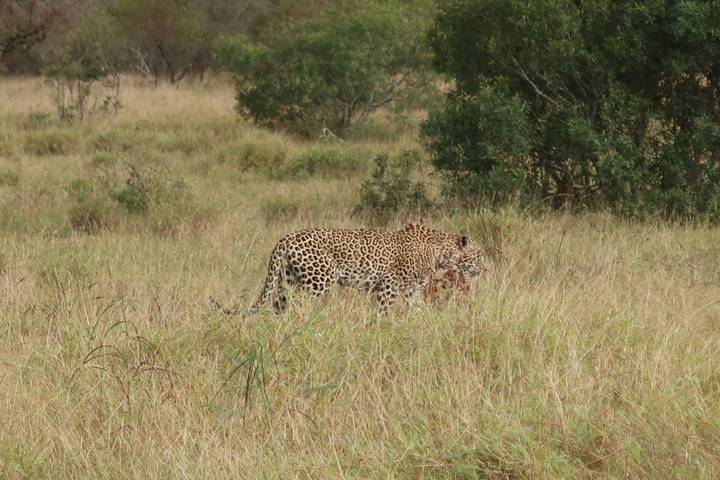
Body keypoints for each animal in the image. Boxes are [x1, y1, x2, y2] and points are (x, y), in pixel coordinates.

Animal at [211, 223, 487, 317]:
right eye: (479, 254)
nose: (485, 268)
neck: (440, 253)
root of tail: (284, 239)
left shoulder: (413, 291)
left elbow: (419, 310)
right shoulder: (388, 286)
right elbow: (382, 312)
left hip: (286, 280)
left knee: (279, 304)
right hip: (318, 280)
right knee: (299, 304)